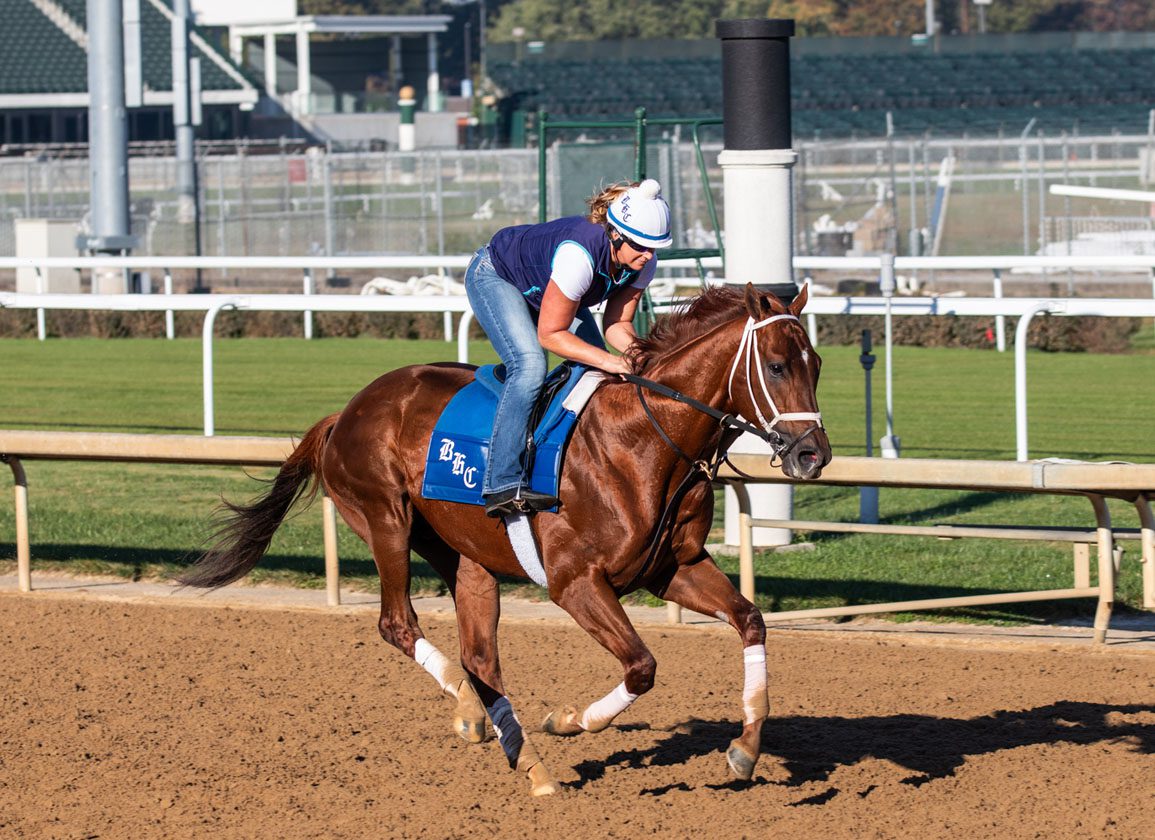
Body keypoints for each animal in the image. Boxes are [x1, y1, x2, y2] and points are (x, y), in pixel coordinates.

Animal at [180, 280, 831, 794]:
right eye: (777, 365)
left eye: (817, 364)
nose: (813, 455)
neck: (645, 440)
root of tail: (345, 413)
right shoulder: (574, 582)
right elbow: (642, 666)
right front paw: (570, 720)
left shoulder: (675, 567)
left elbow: (751, 620)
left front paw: (745, 750)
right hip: (385, 519)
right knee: (399, 624)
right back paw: (489, 723)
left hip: (464, 556)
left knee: (479, 657)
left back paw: (516, 751)